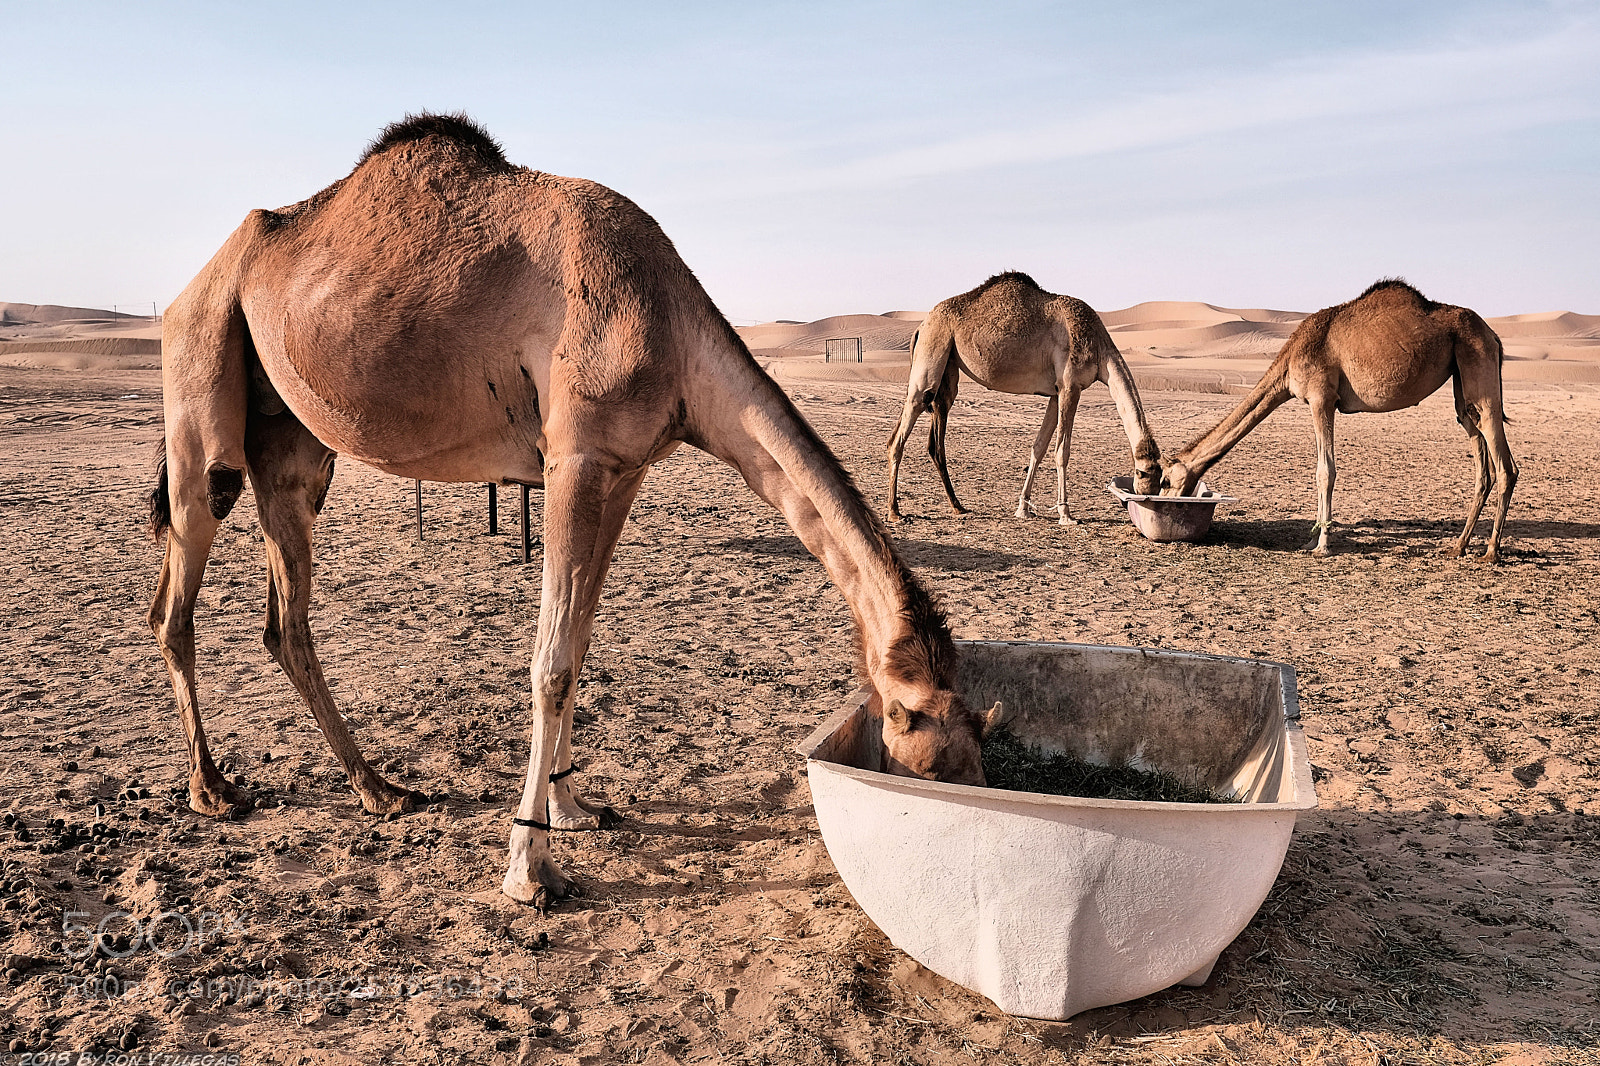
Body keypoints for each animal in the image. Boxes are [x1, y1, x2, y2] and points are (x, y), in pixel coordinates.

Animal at [147, 113, 1001, 910]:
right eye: (943, 761)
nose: (950, 846)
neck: (671, 332)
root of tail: (194, 285)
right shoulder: (574, 459)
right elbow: (551, 661)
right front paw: (530, 869)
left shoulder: (622, 471)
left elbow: (581, 643)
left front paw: (573, 807)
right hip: (203, 377)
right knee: (178, 590)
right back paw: (212, 788)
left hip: (293, 448)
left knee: (283, 620)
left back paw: (379, 789)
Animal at [885, 272, 1160, 524]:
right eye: (1147, 477)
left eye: (1162, 480)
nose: (1150, 500)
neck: (1099, 349)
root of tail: (921, 326)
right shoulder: (1071, 386)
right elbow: (1062, 451)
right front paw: (1066, 514)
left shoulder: (1056, 392)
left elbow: (1038, 447)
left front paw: (1023, 508)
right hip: (932, 351)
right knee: (903, 428)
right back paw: (895, 512)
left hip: (948, 366)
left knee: (935, 437)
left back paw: (958, 506)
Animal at [1161, 278, 1517, 561]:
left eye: (1165, 481)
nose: (1164, 502)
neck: (1289, 361)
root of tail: (1494, 335)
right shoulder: (1318, 402)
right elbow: (1320, 470)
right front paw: (1310, 541)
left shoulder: (1321, 399)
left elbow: (1325, 471)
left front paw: (1321, 545)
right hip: (1461, 380)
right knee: (1477, 445)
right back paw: (1458, 546)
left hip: (1476, 360)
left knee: (1503, 460)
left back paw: (1490, 552)